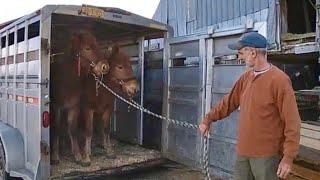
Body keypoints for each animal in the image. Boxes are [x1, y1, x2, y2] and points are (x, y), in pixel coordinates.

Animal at [50, 30, 109, 165]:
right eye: (87, 48)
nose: (105, 66)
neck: (67, 80)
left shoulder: (74, 107)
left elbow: (72, 128)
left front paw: (78, 155)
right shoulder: (56, 106)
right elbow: (56, 128)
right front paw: (55, 157)